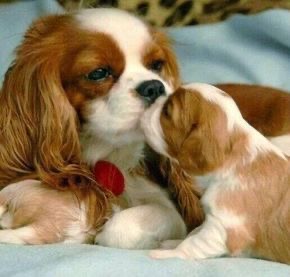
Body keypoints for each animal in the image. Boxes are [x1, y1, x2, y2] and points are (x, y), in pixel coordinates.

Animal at [142, 83, 290, 264]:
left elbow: (193, 243)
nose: (151, 98)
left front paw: (168, 254)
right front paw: (173, 243)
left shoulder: (223, 228)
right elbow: (193, 232)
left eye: (167, 112)